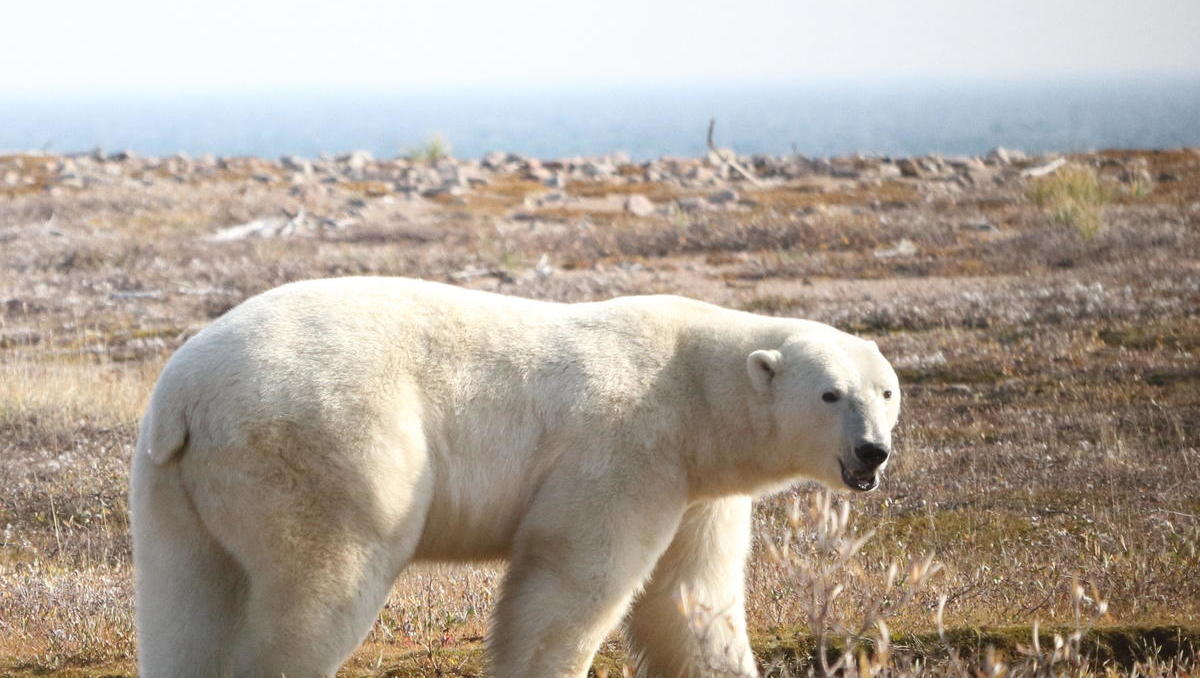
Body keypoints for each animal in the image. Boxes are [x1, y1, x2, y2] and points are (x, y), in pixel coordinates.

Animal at [131, 276, 902, 676]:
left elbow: (691, 598)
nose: (872, 452)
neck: (693, 387)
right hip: (326, 445)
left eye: (886, 391)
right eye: (830, 394)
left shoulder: (699, 489)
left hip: (175, 486)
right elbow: (573, 582)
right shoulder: (626, 449)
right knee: (320, 585)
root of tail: (187, 395)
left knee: (187, 601)